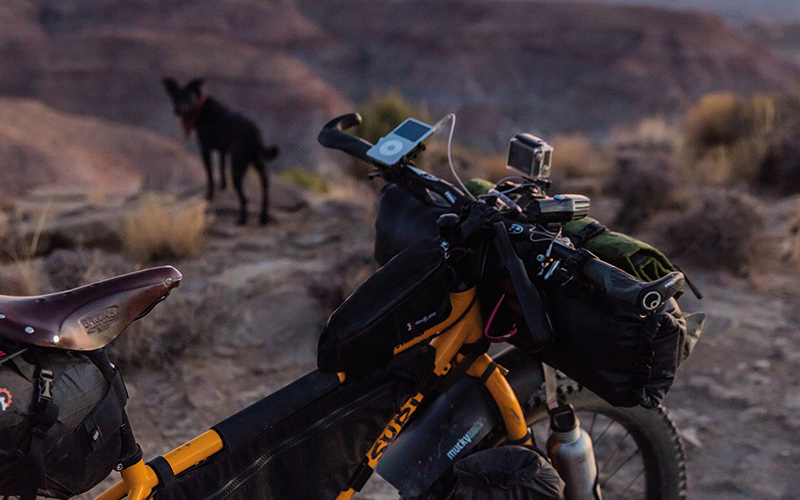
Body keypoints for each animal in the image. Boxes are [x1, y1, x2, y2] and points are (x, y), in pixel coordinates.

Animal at [161, 77, 280, 225]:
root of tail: (256, 134)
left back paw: (242, 219)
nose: (177, 110)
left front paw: (209, 196)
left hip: (237, 166)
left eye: (188, 97)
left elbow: (210, 176)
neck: (200, 108)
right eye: (175, 97)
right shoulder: (223, 150)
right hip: (259, 164)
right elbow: (222, 168)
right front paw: (223, 186)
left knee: (244, 197)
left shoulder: (205, 149)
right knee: (265, 191)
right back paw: (263, 218)